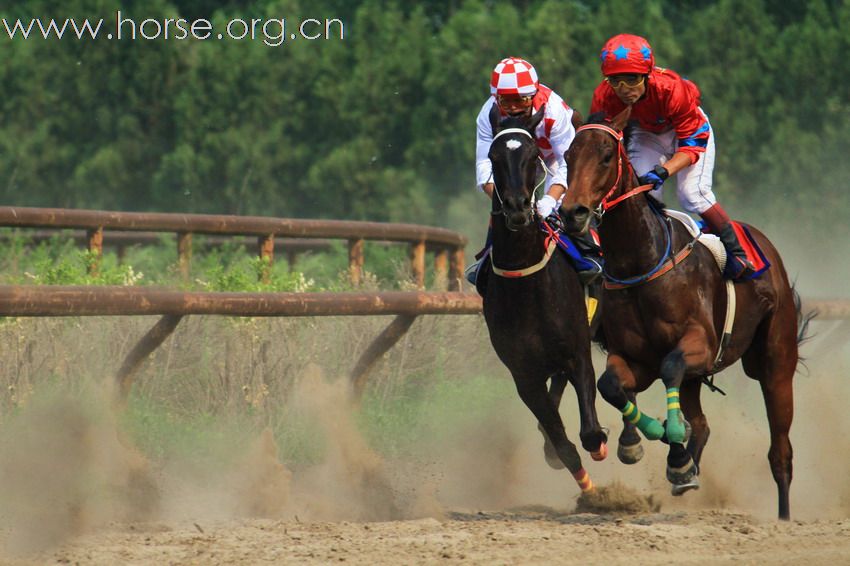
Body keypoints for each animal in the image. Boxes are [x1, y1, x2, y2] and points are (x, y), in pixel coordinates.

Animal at [480, 105, 608, 496]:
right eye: (494, 155)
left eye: (533, 154)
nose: (519, 207)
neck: (527, 285)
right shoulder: (523, 375)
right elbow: (561, 442)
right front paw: (589, 491)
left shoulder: (578, 352)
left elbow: (590, 432)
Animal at [560, 107, 804, 524]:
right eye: (567, 156)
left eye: (606, 156)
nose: (571, 213)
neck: (641, 260)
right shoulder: (635, 358)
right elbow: (611, 385)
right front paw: (645, 444)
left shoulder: (699, 346)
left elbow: (671, 365)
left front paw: (674, 451)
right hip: (700, 379)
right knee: (702, 424)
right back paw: (686, 462)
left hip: (775, 361)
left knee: (780, 451)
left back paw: (784, 516)